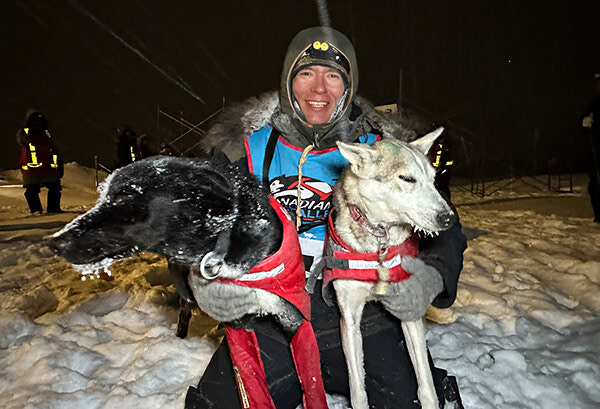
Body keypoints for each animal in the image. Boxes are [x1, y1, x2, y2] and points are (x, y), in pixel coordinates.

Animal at [323, 127, 456, 409]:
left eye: (433, 179)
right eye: (407, 178)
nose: (449, 218)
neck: (379, 243)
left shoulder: (409, 309)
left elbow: (426, 386)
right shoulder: (349, 318)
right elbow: (357, 390)